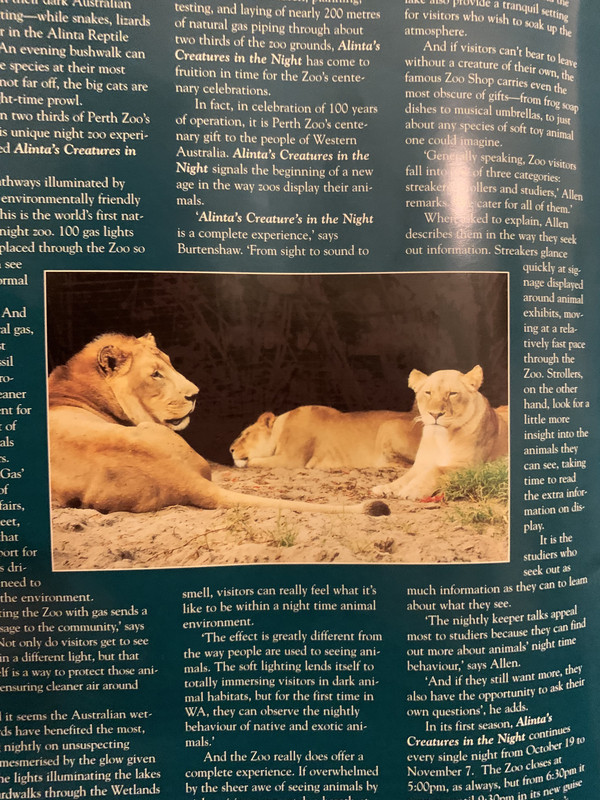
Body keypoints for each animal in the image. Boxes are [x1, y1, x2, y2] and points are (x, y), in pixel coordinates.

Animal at [372, 366, 508, 501]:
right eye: (428, 392)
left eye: (452, 393)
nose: (435, 414)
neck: (441, 439)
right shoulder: (421, 464)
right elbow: (404, 478)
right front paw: (385, 488)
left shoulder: (472, 468)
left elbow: (436, 470)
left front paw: (412, 490)